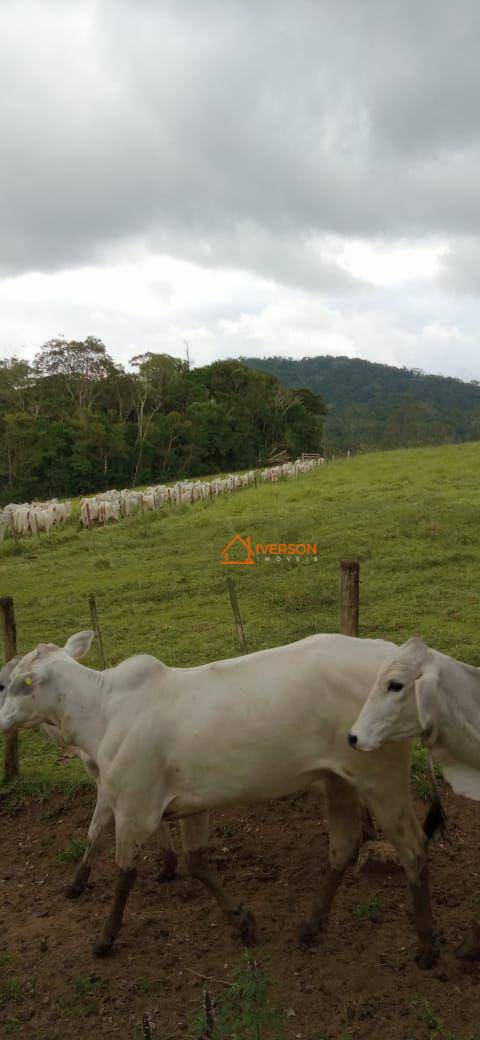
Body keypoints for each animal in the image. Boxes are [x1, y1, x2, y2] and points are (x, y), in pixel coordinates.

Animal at [0, 628, 440, 960]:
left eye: (23, 683)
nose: (0, 718)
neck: (103, 713)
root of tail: (388, 652)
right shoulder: (190, 804)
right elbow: (195, 862)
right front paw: (242, 922)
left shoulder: (134, 807)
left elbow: (124, 870)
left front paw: (105, 937)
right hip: (339, 780)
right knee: (343, 846)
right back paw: (310, 926)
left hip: (380, 777)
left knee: (414, 847)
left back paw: (428, 949)